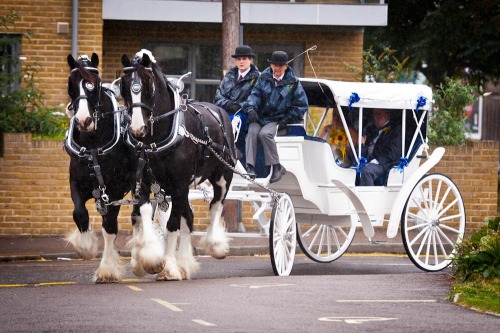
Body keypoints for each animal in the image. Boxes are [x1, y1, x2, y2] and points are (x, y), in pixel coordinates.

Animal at [64, 53, 133, 282]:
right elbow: (79, 213)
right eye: (71, 84)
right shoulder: (77, 183)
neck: (94, 145)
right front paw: (85, 246)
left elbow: (110, 227)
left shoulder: (114, 191)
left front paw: (107, 270)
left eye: (93, 84)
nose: (83, 120)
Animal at [122, 48, 237, 278]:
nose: (137, 129)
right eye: (125, 87)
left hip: (222, 176)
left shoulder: (178, 184)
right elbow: (145, 212)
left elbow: (173, 224)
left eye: (148, 86)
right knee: (189, 217)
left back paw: (215, 246)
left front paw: (169, 267)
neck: (155, 140)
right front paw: (148, 258)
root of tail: (219, 111)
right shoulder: (141, 183)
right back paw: (184, 262)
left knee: (216, 205)